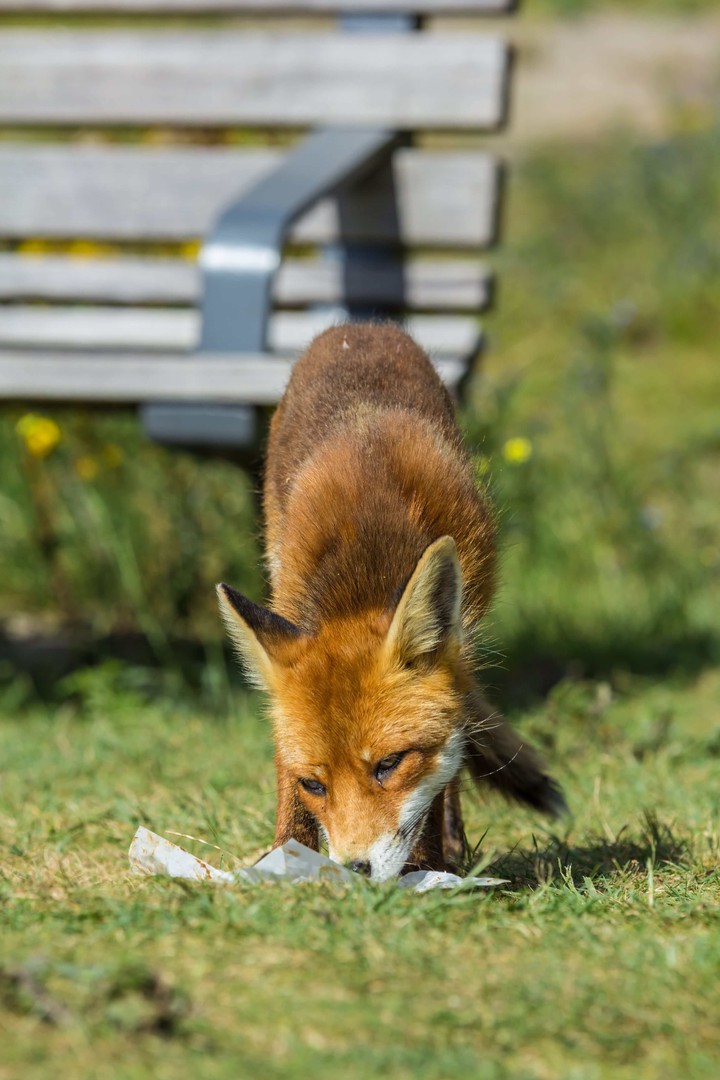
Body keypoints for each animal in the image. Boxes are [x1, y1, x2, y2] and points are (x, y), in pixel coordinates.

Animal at [216, 324, 565, 881]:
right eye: (314, 784)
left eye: (389, 764)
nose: (355, 869)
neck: (366, 572)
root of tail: (361, 327)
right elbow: (284, 770)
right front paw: (284, 856)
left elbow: (440, 781)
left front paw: (427, 863)